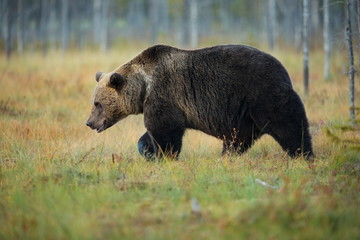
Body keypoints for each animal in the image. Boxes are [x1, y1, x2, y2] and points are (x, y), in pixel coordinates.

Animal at [86, 44, 314, 160]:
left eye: (97, 103)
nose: (89, 122)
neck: (143, 86)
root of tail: (283, 69)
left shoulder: (164, 94)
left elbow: (164, 130)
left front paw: (164, 156)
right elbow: (151, 134)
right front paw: (147, 150)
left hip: (262, 93)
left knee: (288, 124)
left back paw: (303, 153)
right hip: (244, 112)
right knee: (238, 138)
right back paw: (227, 155)